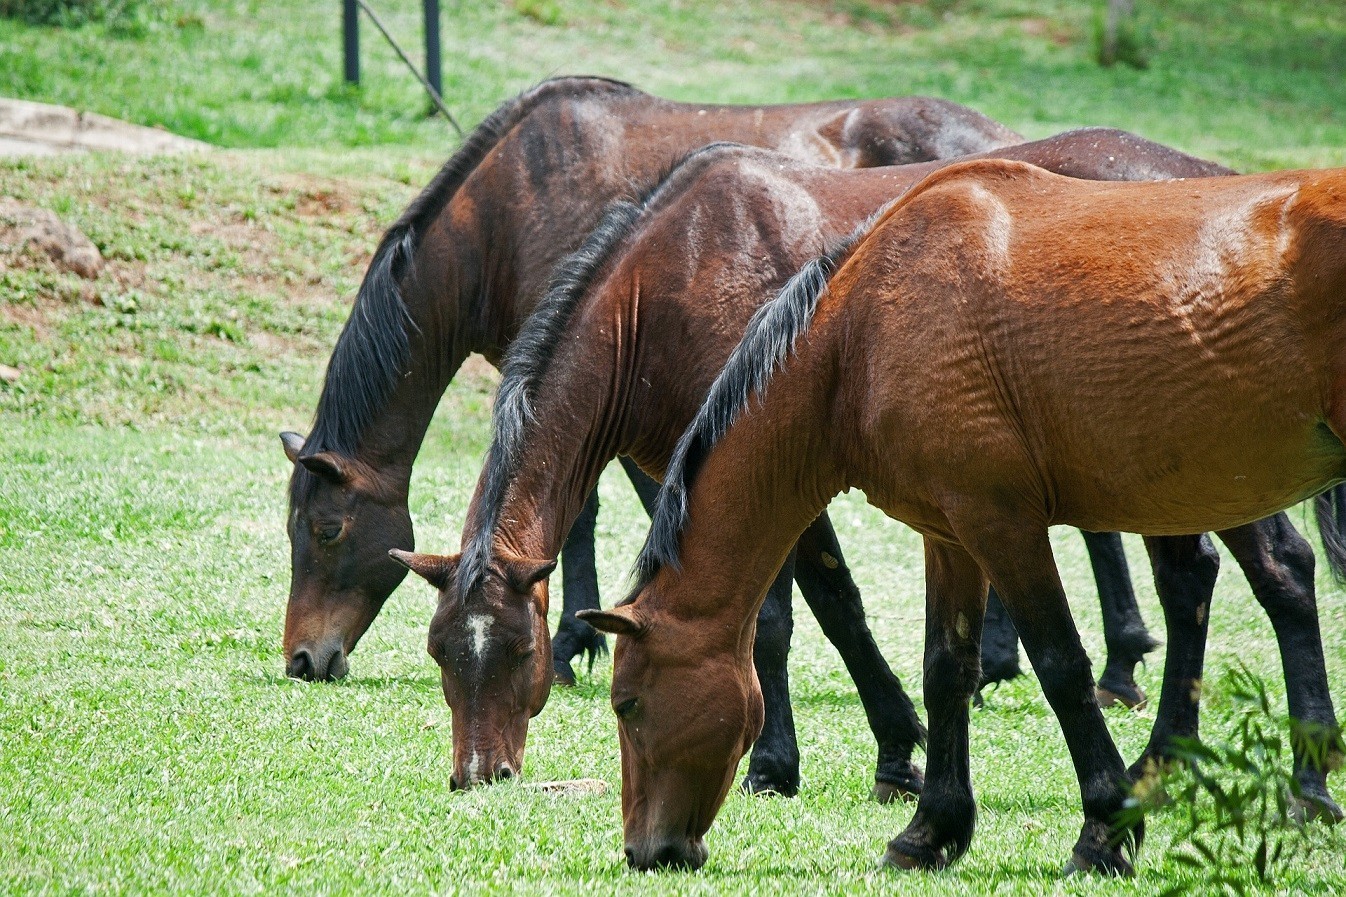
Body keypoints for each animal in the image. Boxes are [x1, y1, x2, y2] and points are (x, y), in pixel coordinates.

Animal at [387, 134, 1335, 808]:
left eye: (518, 651)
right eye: (441, 653)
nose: (480, 772)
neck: (671, 277)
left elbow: (798, 615)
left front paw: (814, 759)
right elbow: (819, 606)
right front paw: (887, 749)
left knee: (1280, 572)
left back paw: (1293, 778)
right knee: (1194, 579)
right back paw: (1166, 760)